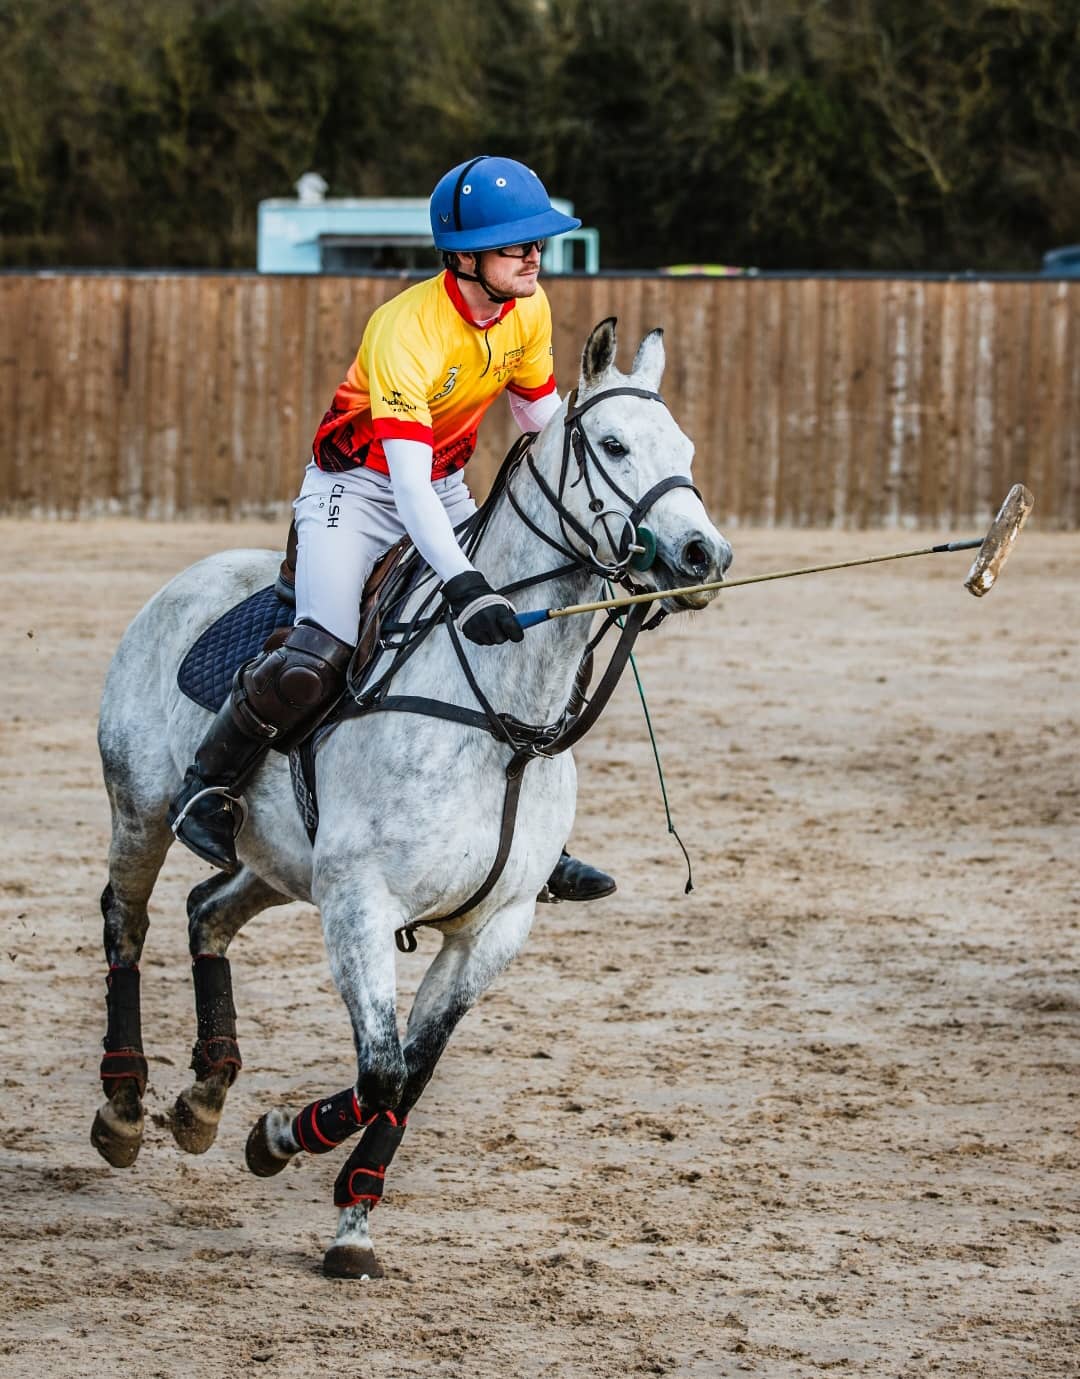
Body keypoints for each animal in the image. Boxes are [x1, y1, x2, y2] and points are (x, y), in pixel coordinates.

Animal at [91, 317, 733, 1278]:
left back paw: (204, 1096)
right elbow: (383, 1069)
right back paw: (125, 1106)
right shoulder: (361, 901)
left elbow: (411, 1075)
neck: (504, 716)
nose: (705, 556)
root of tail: (187, 578)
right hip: (140, 810)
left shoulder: (492, 929)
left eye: (687, 449)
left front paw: (350, 1218)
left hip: (280, 864)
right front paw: (279, 1137)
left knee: (207, 910)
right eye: (615, 444)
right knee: (125, 922)